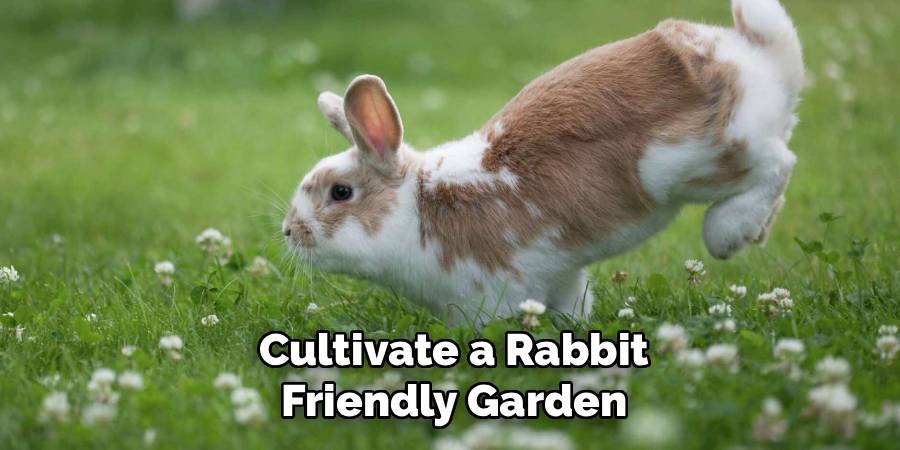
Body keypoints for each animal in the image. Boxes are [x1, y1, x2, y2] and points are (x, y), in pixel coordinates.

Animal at [283, 0, 803, 323]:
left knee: (779, 162)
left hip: (698, 162)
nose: (289, 232)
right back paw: (755, 232)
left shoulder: (492, 293)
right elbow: (572, 306)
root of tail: (757, 58)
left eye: (341, 192)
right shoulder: (561, 277)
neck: (418, 206)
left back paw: (730, 232)